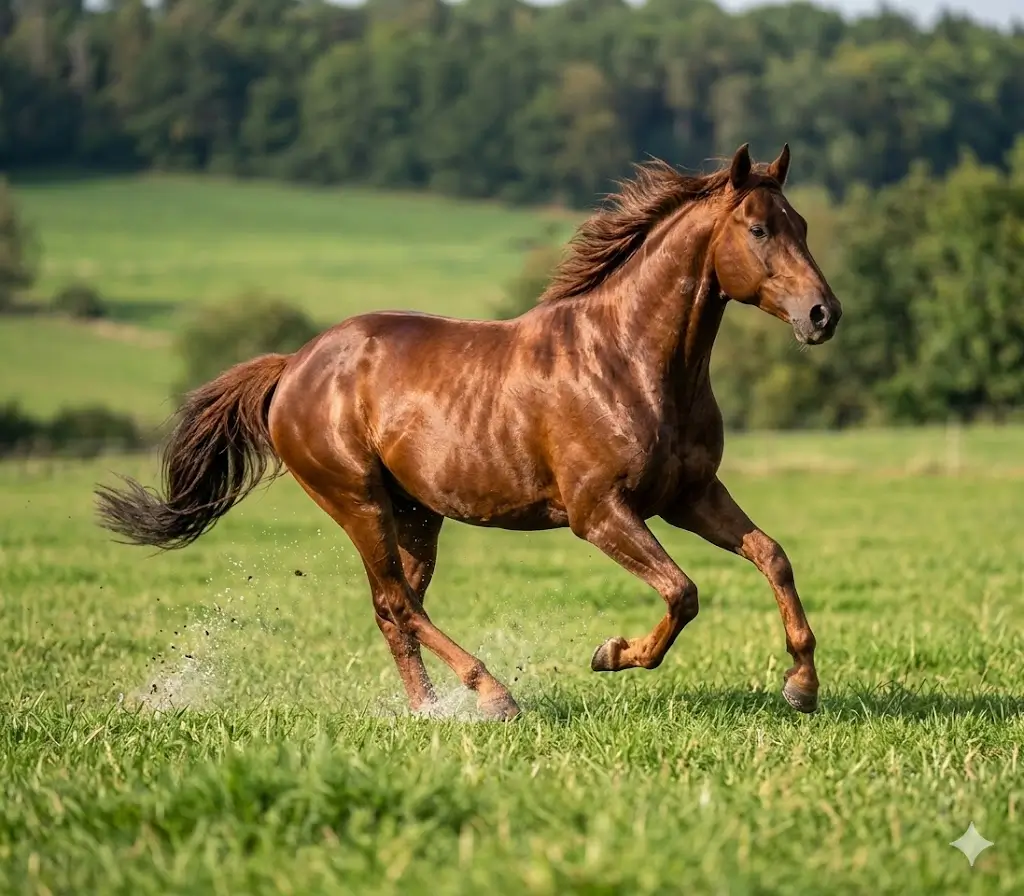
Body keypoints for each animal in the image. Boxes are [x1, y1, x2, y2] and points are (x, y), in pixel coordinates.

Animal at [95, 143, 842, 721]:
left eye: (801, 223)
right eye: (758, 230)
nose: (823, 314)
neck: (630, 360)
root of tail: (293, 366)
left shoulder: (689, 495)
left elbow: (772, 555)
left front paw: (801, 686)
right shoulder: (599, 511)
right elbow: (682, 592)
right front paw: (611, 654)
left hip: (416, 514)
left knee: (395, 608)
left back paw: (429, 710)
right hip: (358, 501)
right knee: (398, 602)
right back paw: (492, 696)